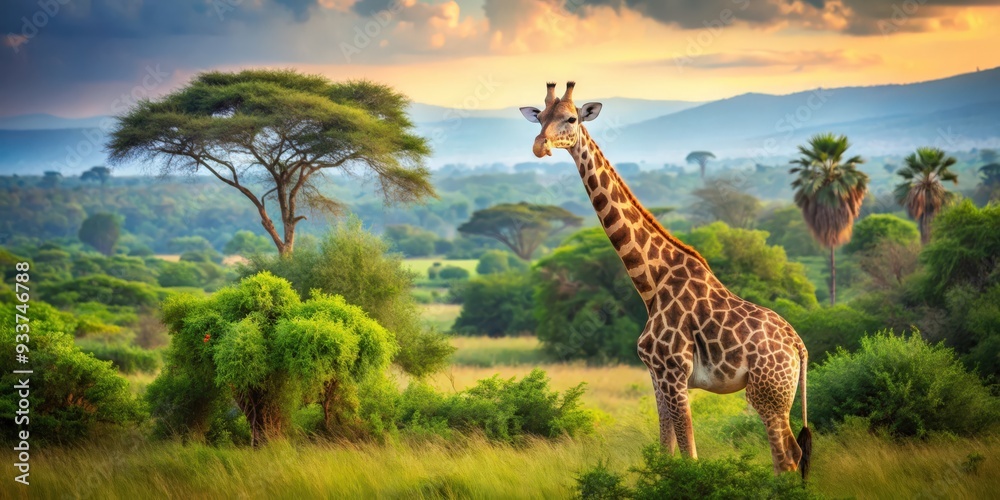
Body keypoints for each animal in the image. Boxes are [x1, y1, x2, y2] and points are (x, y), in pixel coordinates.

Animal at [519, 82, 812, 478]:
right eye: (540, 118)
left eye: (571, 118)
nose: (540, 146)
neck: (651, 283)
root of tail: (799, 347)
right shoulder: (657, 376)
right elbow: (665, 451)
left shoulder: (675, 373)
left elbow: (689, 455)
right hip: (778, 394)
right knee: (794, 454)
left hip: (768, 394)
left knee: (787, 457)